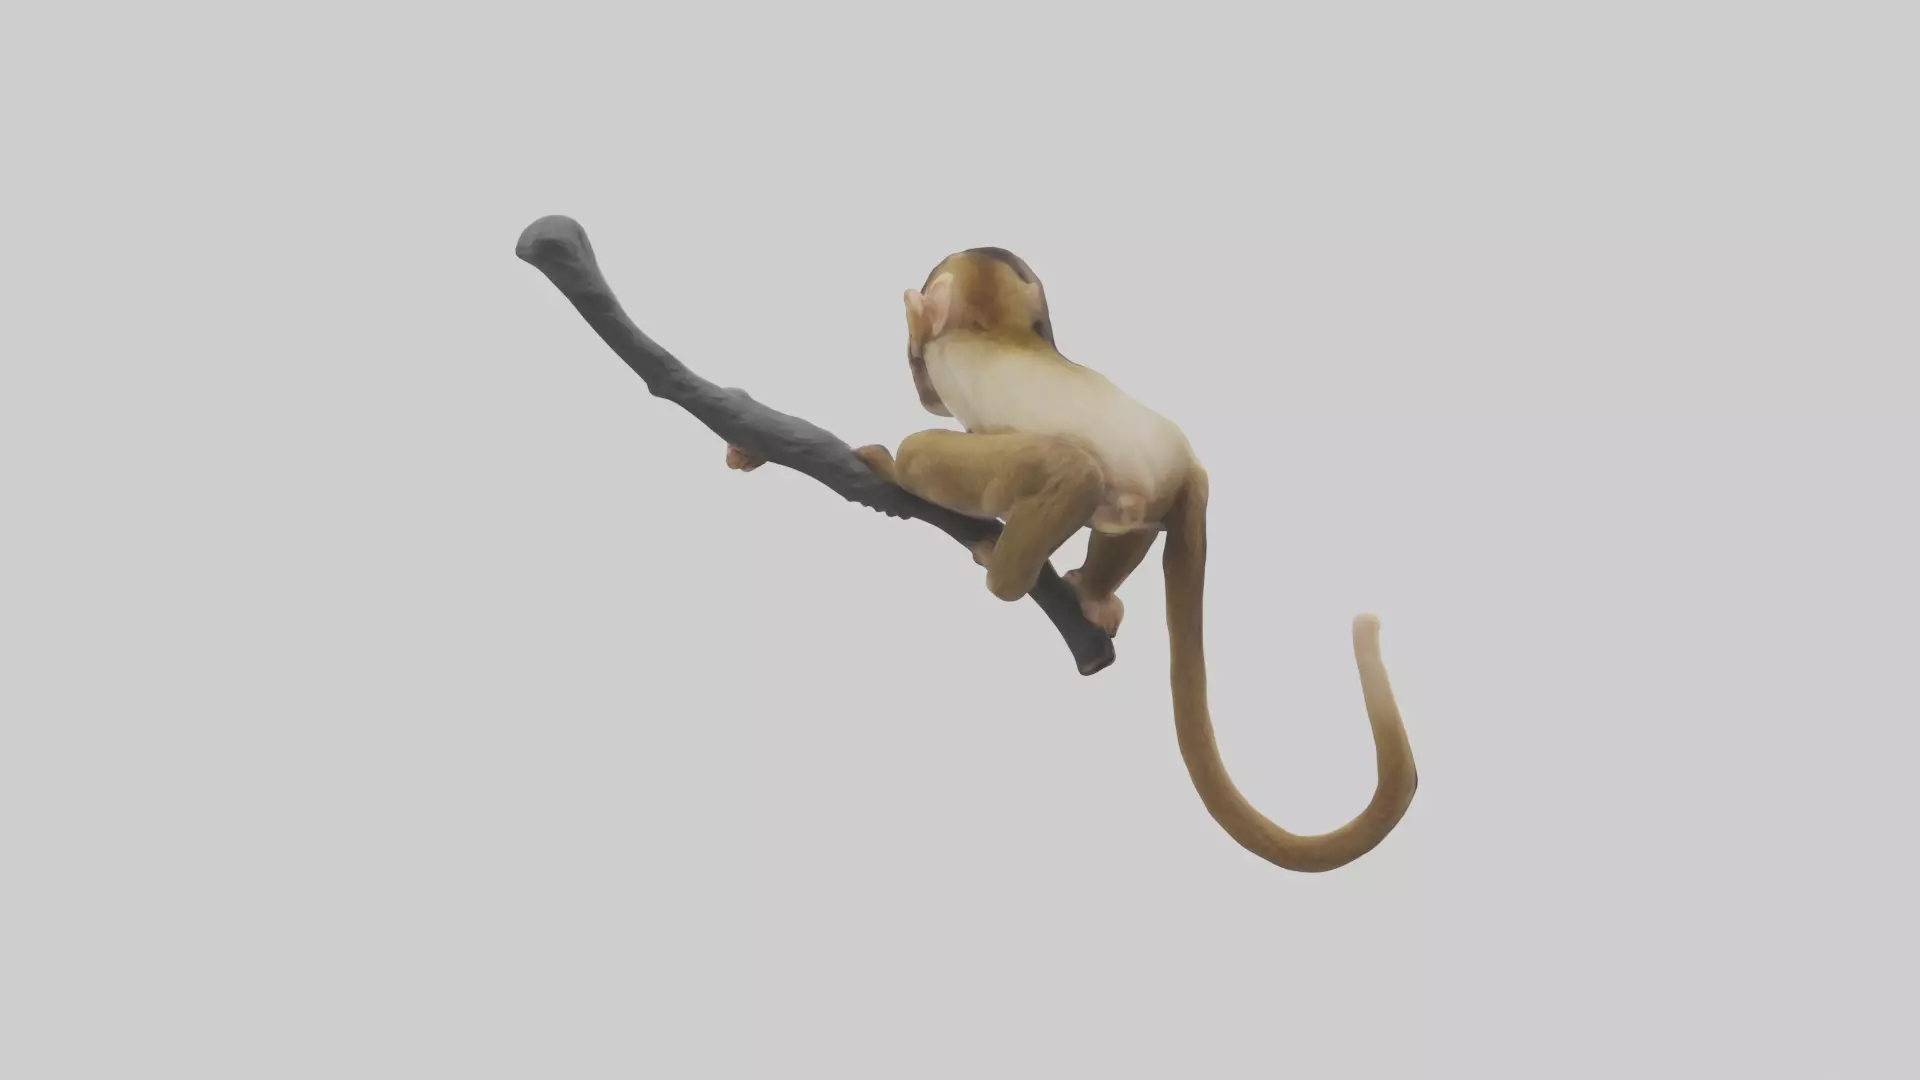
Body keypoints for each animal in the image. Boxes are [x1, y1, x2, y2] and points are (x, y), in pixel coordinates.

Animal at [727, 247, 1417, 872]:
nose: (917, 378)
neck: (997, 329)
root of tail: (1189, 467)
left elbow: (1021, 462)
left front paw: (889, 469)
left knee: (1047, 465)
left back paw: (1002, 569)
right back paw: (1088, 594)